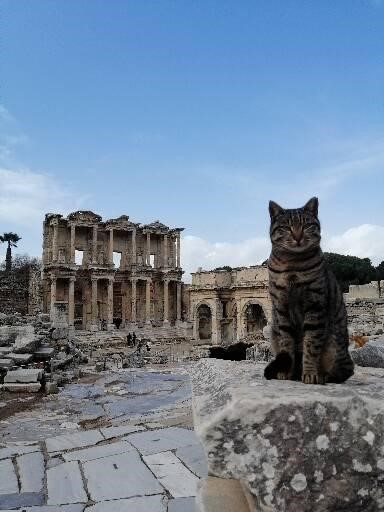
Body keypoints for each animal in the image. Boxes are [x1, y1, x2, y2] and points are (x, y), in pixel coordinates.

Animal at [264, 196, 354, 384]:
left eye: (306, 225)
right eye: (287, 227)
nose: (298, 236)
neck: (292, 264)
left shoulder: (315, 305)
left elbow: (311, 344)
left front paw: (311, 373)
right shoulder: (281, 308)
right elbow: (286, 342)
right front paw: (286, 371)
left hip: (335, 344)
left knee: (343, 371)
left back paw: (323, 375)